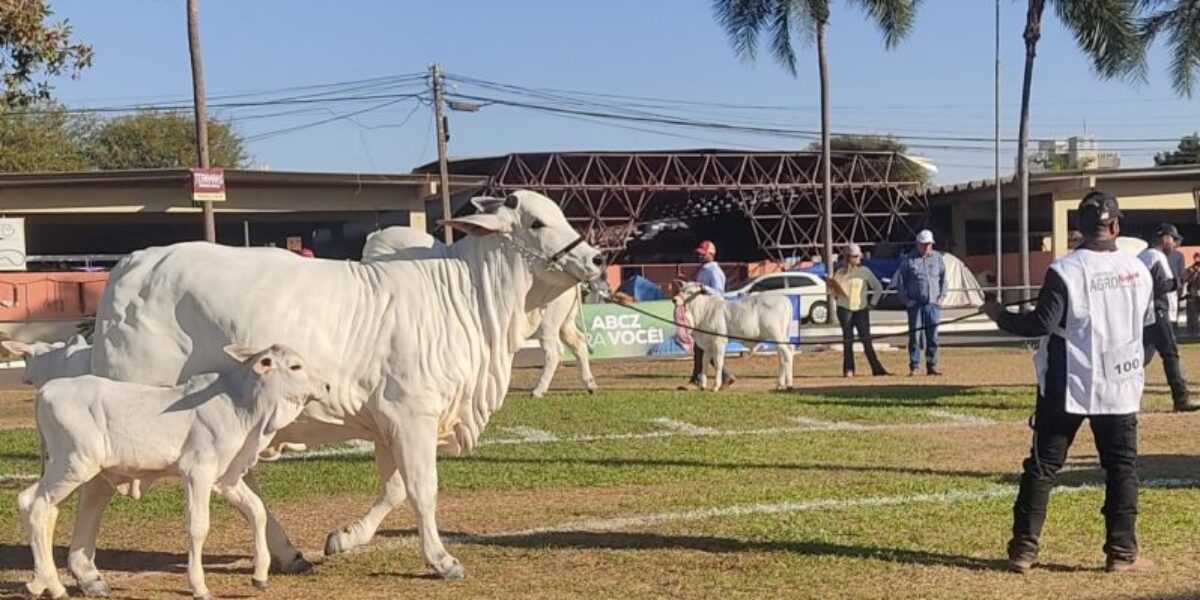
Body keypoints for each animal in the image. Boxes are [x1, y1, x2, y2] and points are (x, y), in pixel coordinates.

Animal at [19, 345, 328, 600]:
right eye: (295, 366)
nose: (325, 385)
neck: (240, 406)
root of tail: (46, 391)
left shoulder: (225, 478)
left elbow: (256, 510)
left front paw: (260, 575)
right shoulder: (197, 472)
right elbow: (198, 526)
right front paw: (200, 587)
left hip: (66, 467)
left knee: (41, 507)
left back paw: (41, 584)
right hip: (74, 464)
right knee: (36, 504)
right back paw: (53, 586)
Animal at [85, 190, 604, 580]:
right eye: (537, 222)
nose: (596, 258)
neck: (466, 295)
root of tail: (133, 265)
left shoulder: (388, 422)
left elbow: (394, 489)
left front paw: (345, 538)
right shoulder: (411, 412)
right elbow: (422, 488)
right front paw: (440, 560)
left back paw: (288, 554)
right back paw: (84, 571)